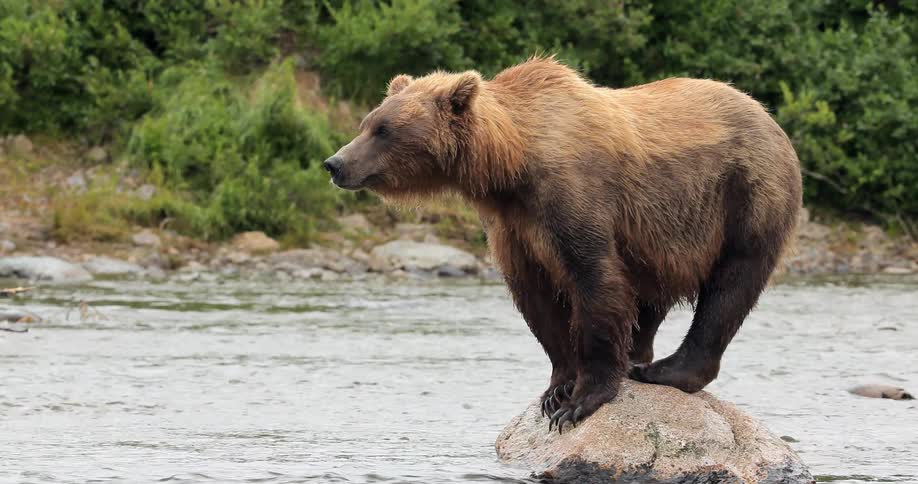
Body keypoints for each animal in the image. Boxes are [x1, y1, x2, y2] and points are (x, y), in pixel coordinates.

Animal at [323, 56, 802, 432]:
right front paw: (558, 387)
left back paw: (666, 370)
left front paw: (580, 400)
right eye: (368, 123)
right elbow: (536, 299)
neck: (510, 166)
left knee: (731, 286)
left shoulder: (571, 197)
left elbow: (595, 280)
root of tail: (768, 116)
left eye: (384, 129)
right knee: (652, 297)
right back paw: (638, 357)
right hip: (661, 237)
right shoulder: (512, 225)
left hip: (745, 195)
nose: (335, 162)